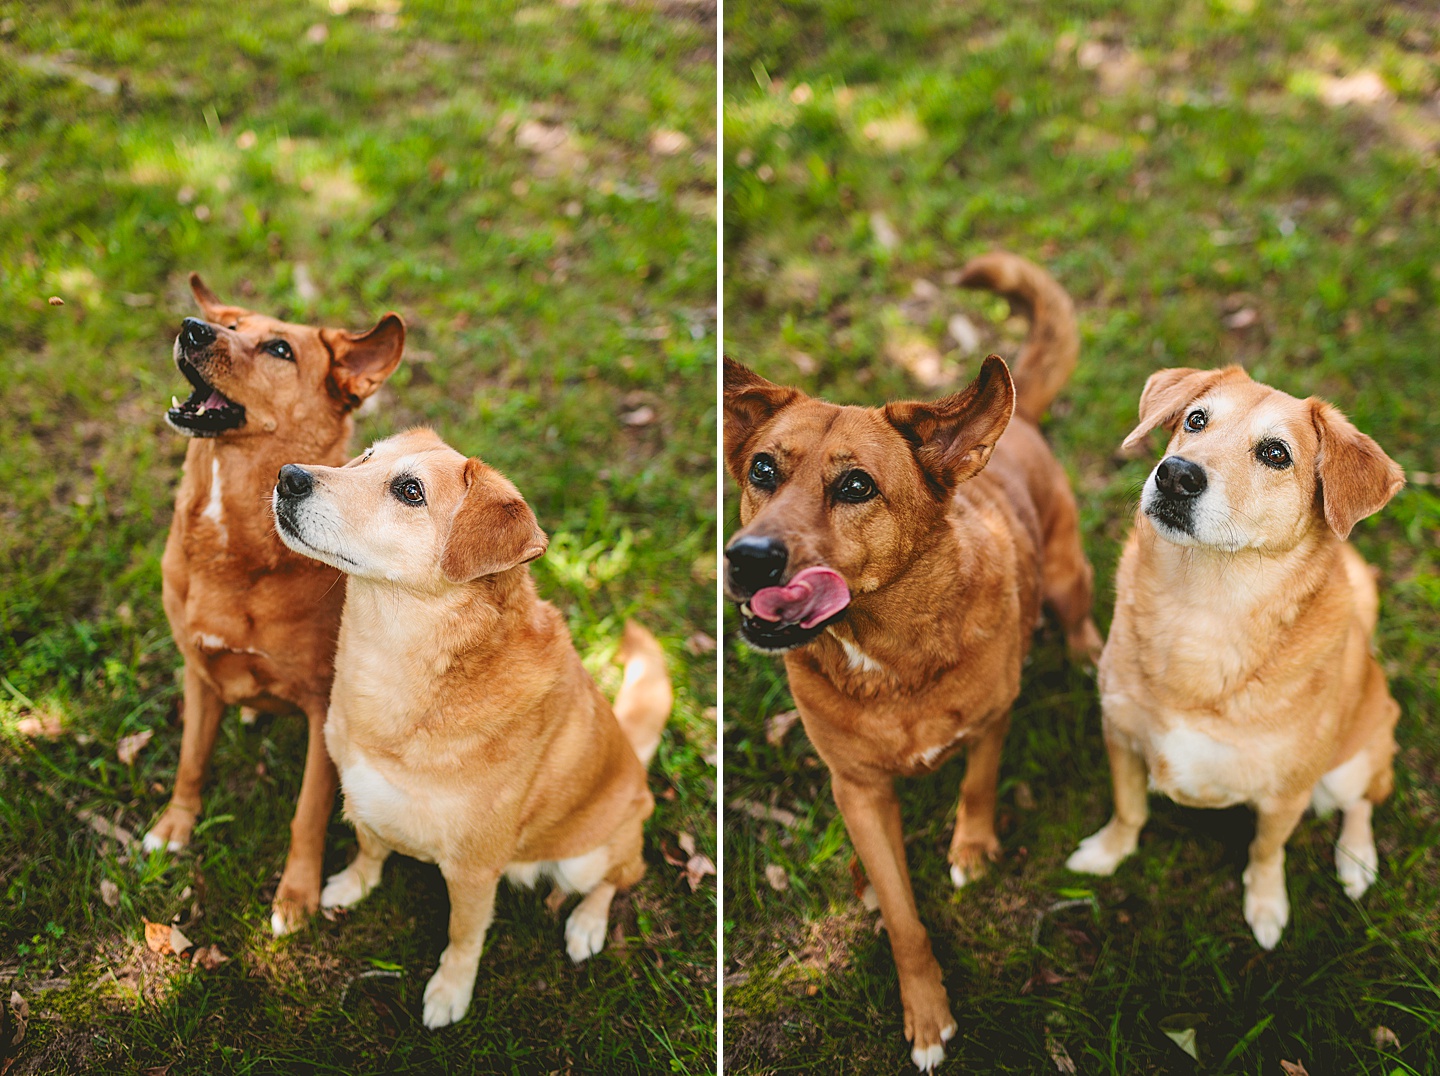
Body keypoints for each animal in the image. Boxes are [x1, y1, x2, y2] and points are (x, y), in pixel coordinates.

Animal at [148, 275, 406, 933]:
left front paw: (296, 895)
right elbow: (191, 761)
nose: (192, 328)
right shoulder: (197, 672)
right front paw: (173, 826)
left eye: (280, 350)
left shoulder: (322, 711)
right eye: (230, 324)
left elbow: (307, 814)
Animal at [270, 426, 673, 1025]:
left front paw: (450, 989)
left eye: (410, 491)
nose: (288, 476)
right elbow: (370, 847)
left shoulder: (473, 871)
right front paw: (353, 883)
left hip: (592, 853)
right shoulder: (363, 796)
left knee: (619, 877)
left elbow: (464, 936)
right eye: (364, 457)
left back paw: (587, 924)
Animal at [725, 252, 1094, 1071]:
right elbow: (902, 916)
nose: (746, 559)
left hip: (1066, 574)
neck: (892, 657)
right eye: (762, 470)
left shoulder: (991, 722)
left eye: (855, 486)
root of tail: (1019, 429)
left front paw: (972, 847)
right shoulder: (858, 790)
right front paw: (926, 1011)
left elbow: (979, 787)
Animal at [1071, 368, 1405, 950]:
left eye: (1275, 453)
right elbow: (1129, 810)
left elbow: (1267, 851)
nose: (1175, 475)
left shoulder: (1285, 795)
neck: (1202, 612)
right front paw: (1108, 853)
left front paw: (1267, 905)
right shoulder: (1121, 738)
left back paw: (1357, 859)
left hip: (1353, 762)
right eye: (1195, 420)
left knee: (1361, 802)